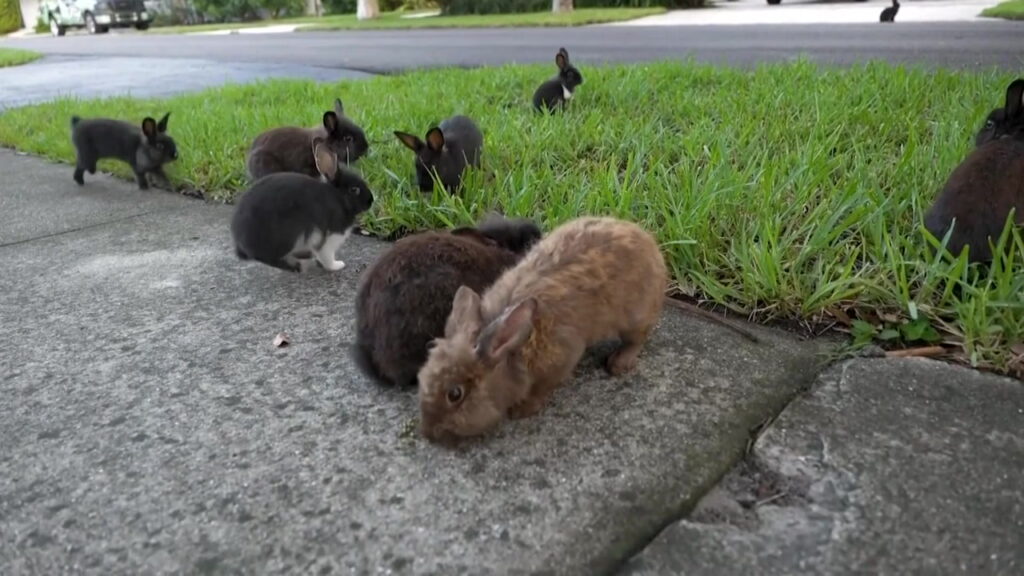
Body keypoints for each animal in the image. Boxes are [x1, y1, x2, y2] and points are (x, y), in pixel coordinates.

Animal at [230, 136, 374, 270]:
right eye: (354, 190)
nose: (371, 201)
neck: (338, 197)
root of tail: (240, 241)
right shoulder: (328, 237)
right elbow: (326, 255)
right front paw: (336, 265)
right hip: (287, 236)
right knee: (267, 258)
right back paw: (296, 266)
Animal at [417, 213, 671, 440]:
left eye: (455, 394)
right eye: (423, 376)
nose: (429, 433)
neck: (511, 352)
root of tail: (649, 244)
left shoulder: (561, 357)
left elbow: (542, 389)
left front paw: (521, 411)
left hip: (635, 316)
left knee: (637, 338)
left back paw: (619, 363)